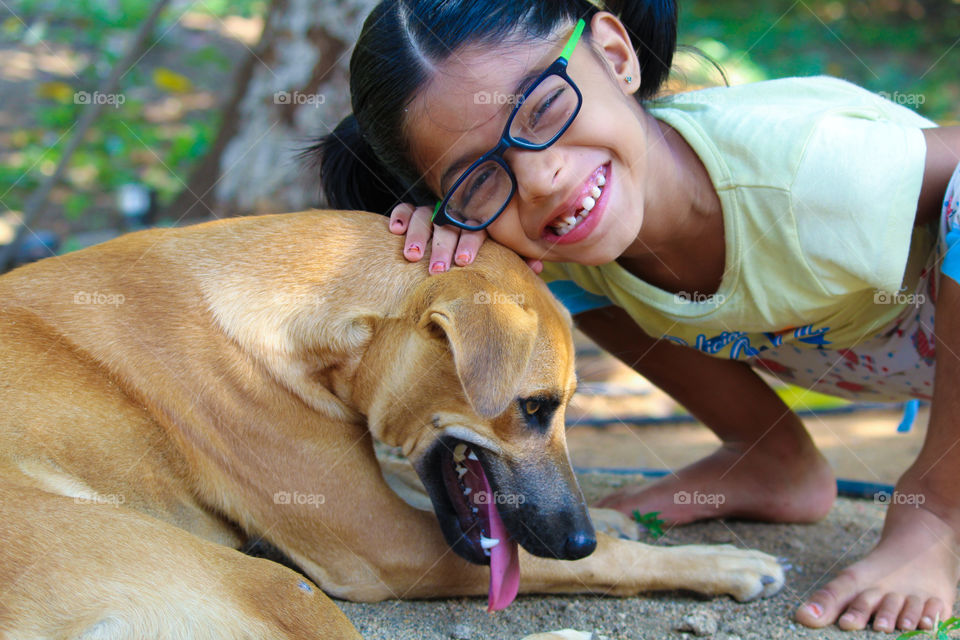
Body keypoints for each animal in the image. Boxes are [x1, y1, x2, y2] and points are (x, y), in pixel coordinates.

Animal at [0, 210, 784, 636]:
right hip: (280, 591)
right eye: (533, 408)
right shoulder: (383, 547)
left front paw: (622, 524)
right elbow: (597, 567)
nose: (579, 538)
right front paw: (719, 563)